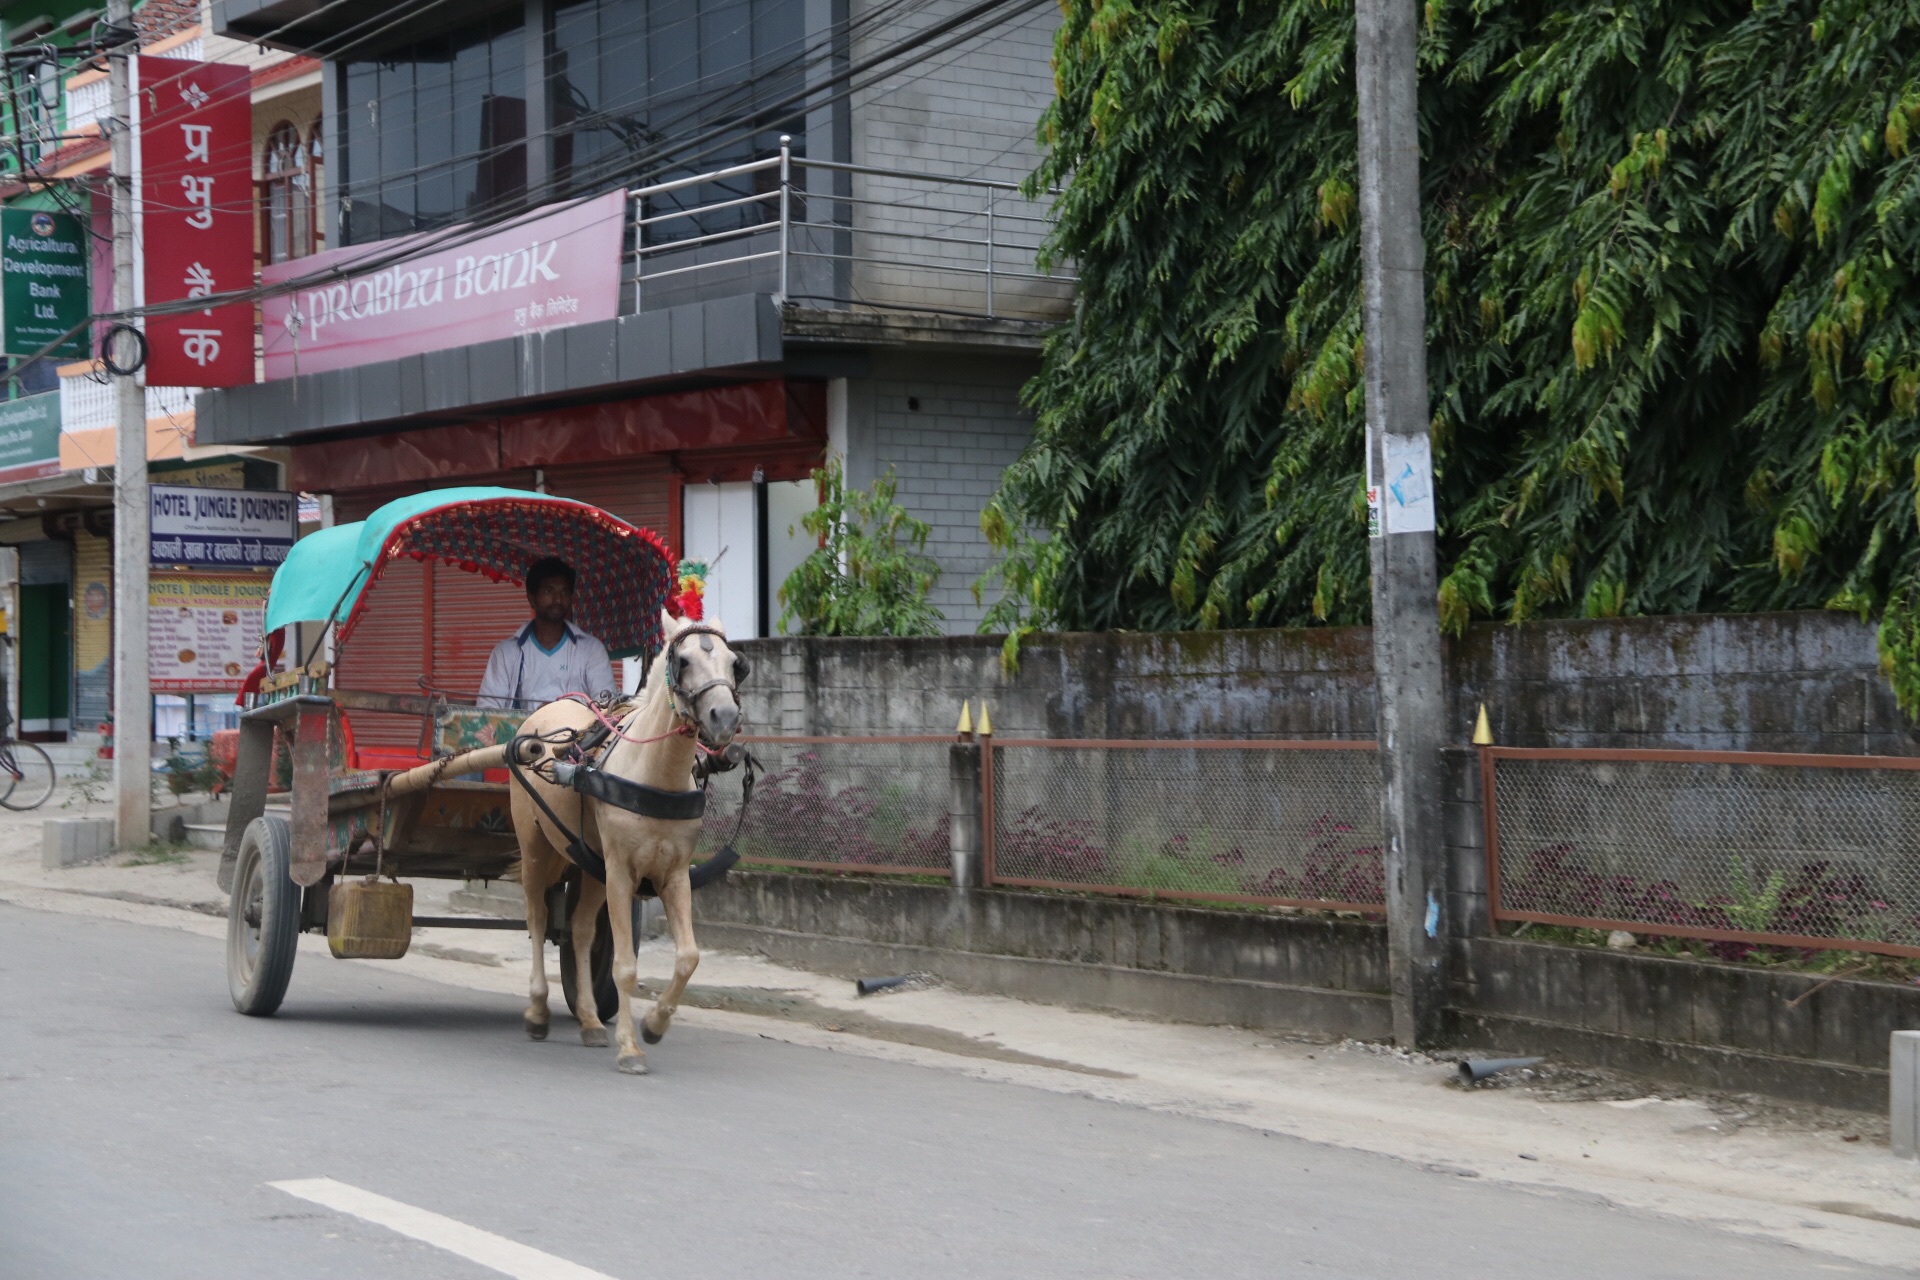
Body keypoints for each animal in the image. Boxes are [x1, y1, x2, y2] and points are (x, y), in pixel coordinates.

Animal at [510, 610, 748, 1074]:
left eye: (735, 663)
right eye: (683, 662)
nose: (725, 717)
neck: (654, 772)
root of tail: (543, 712)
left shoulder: (674, 875)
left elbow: (688, 957)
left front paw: (654, 1025)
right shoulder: (621, 873)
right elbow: (624, 967)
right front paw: (631, 1048)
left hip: (591, 865)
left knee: (580, 930)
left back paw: (588, 1020)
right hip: (536, 849)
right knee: (538, 919)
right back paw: (537, 1012)